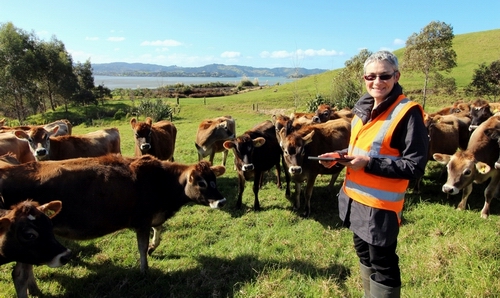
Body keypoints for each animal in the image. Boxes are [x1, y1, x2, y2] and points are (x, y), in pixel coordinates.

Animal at [0, 155, 227, 274]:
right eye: (201, 183)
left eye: (214, 179)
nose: (222, 201)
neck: (161, 180)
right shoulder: (142, 220)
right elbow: (142, 247)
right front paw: (144, 269)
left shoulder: (154, 216)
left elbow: (158, 232)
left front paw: (154, 247)